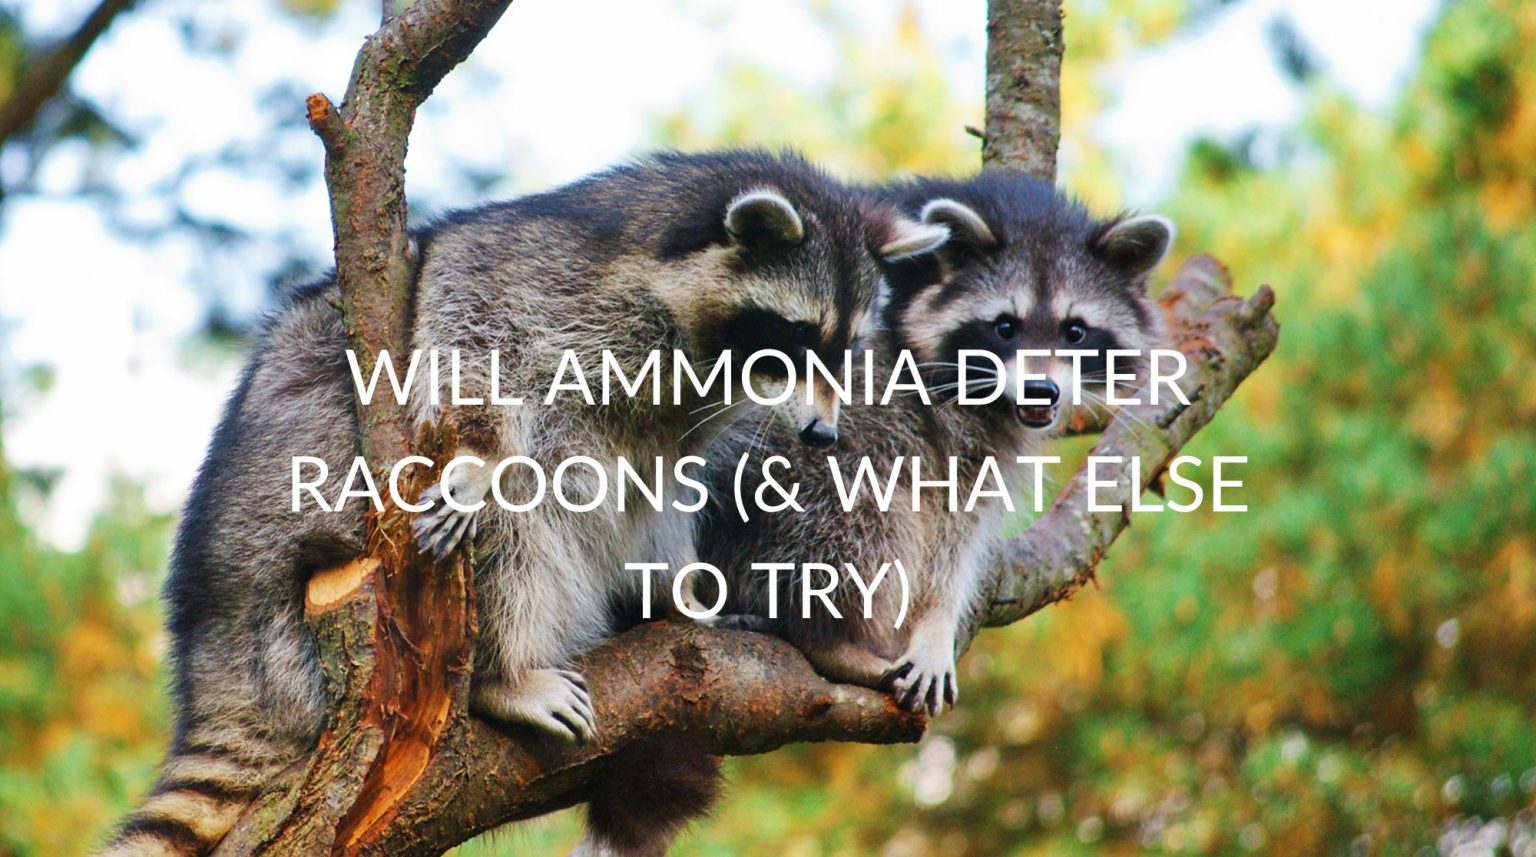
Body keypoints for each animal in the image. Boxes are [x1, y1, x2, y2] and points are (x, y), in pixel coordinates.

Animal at [101, 151, 947, 857]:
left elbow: (661, 488)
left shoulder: (678, 415)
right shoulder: (539, 271)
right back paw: (505, 670)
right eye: (794, 338)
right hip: (311, 526)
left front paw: (685, 588)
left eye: (843, 349)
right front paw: (480, 456)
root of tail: (217, 644)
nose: (823, 432)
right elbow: (469, 327)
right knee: (515, 509)